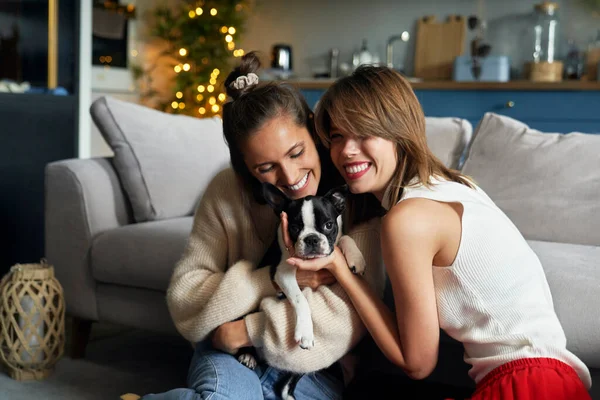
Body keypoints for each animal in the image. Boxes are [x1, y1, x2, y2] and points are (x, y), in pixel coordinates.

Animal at [236, 183, 366, 400]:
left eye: (329, 225)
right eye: (295, 228)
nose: (312, 239)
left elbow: (344, 237)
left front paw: (357, 258)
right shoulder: (283, 273)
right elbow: (300, 300)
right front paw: (305, 331)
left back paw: (288, 393)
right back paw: (247, 355)